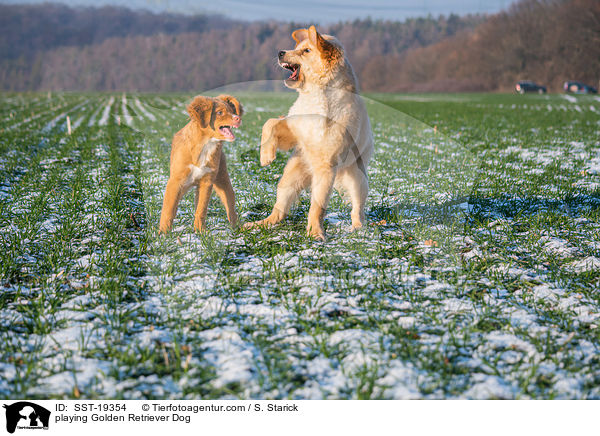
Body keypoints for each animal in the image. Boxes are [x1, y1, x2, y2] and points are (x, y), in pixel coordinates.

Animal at [161, 93, 245, 233]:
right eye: (220, 112)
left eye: (232, 111)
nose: (238, 118)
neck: (205, 144)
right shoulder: (175, 182)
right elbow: (169, 209)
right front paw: (163, 233)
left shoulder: (207, 181)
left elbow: (201, 209)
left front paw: (200, 231)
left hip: (223, 181)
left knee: (231, 207)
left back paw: (236, 229)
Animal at [243, 25, 370, 240]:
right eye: (297, 48)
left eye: (306, 51)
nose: (280, 52)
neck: (316, 93)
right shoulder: (294, 129)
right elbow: (270, 123)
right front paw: (265, 156)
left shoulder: (326, 166)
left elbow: (317, 207)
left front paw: (316, 234)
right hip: (290, 176)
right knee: (279, 210)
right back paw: (258, 224)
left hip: (356, 179)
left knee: (356, 208)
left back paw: (356, 228)